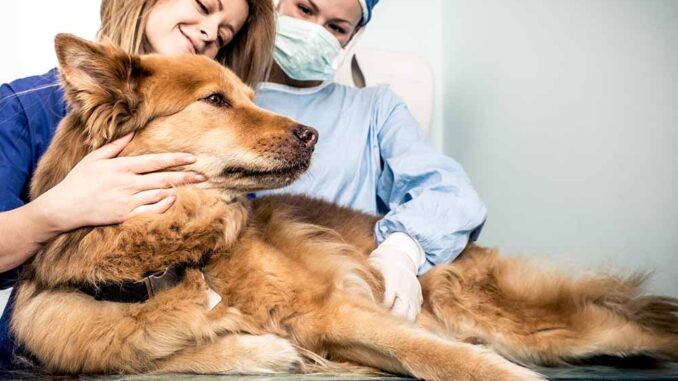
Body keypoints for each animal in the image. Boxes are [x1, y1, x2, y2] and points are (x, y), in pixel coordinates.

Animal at [7, 34, 676, 378]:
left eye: (249, 95)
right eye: (216, 101)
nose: (311, 135)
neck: (170, 256)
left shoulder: (334, 309)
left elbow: (435, 355)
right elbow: (169, 358)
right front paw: (258, 349)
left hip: (521, 319)